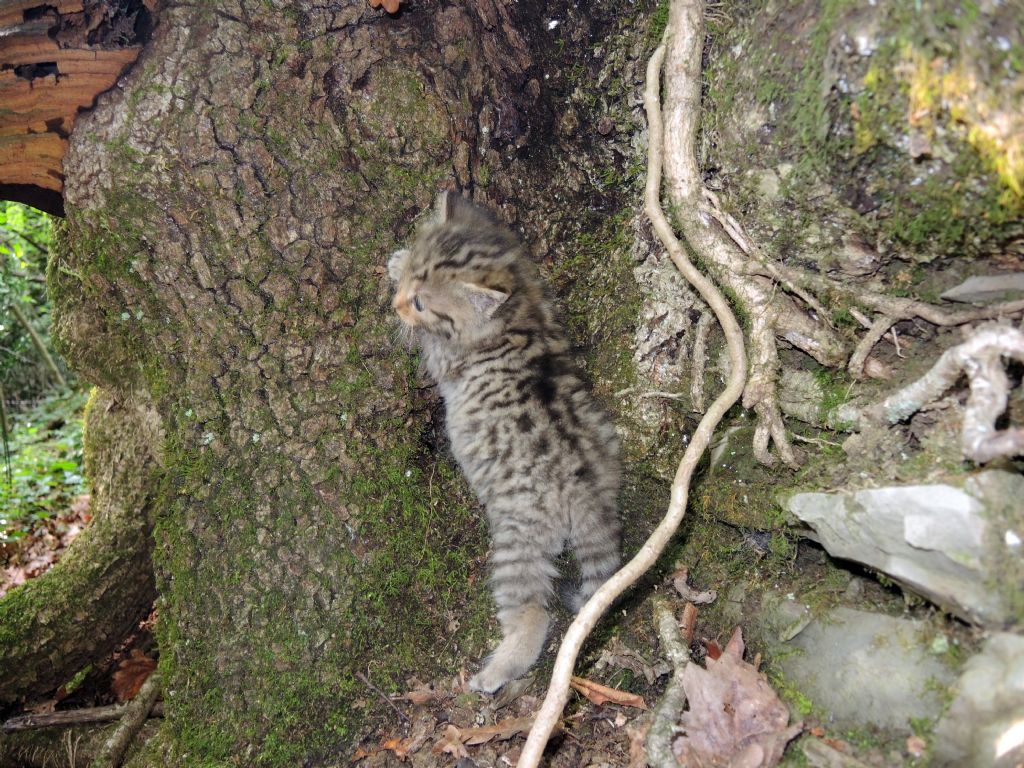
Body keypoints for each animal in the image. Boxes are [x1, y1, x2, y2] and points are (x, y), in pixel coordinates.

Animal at [387, 193, 618, 696]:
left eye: (420, 302)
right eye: (413, 280)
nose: (396, 304)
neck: (517, 307)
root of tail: (589, 490)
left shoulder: (444, 356)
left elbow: (427, 346)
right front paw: (396, 260)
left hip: (517, 540)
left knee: (533, 613)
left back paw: (498, 670)